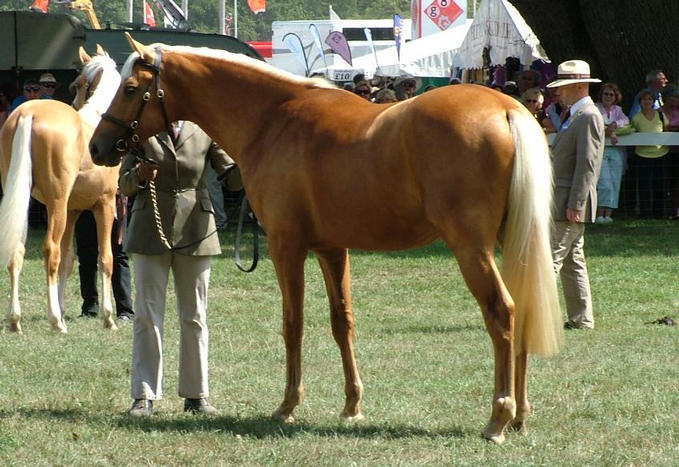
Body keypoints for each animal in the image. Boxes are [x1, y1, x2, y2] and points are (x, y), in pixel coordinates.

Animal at [0, 46, 121, 332]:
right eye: (75, 84)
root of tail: (28, 113)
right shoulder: (104, 204)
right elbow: (105, 259)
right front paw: (108, 317)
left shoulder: (73, 210)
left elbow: (68, 260)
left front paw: (65, 309)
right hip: (56, 205)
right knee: (50, 250)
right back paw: (55, 321)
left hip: (25, 202)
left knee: (18, 251)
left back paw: (15, 320)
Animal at [91, 34, 568, 444]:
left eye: (130, 88)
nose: (99, 147)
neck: (274, 119)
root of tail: (505, 108)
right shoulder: (331, 248)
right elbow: (343, 323)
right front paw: (352, 406)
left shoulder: (287, 246)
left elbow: (293, 323)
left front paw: (287, 406)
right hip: (511, 244)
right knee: (523, 308)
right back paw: (521, 415)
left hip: (471, 248)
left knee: (502, 312)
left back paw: (499, 417)